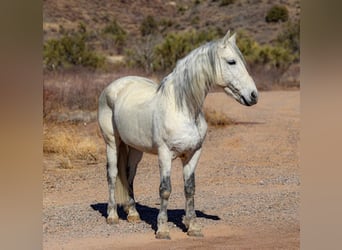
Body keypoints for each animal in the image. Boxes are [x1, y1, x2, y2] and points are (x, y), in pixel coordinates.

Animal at [97, 30, 258, 239]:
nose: (254, 95)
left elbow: (190, 189)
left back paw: (133, 213)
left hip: (135, 148)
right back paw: (112, 216)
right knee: (112, 174)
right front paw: (163, 230)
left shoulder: (193, 154)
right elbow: (165, 190)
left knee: (129, 175)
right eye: (231, 62)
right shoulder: (165, 154)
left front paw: (193, 227)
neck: (182, 108)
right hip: (112, 143)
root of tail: (115, 85)